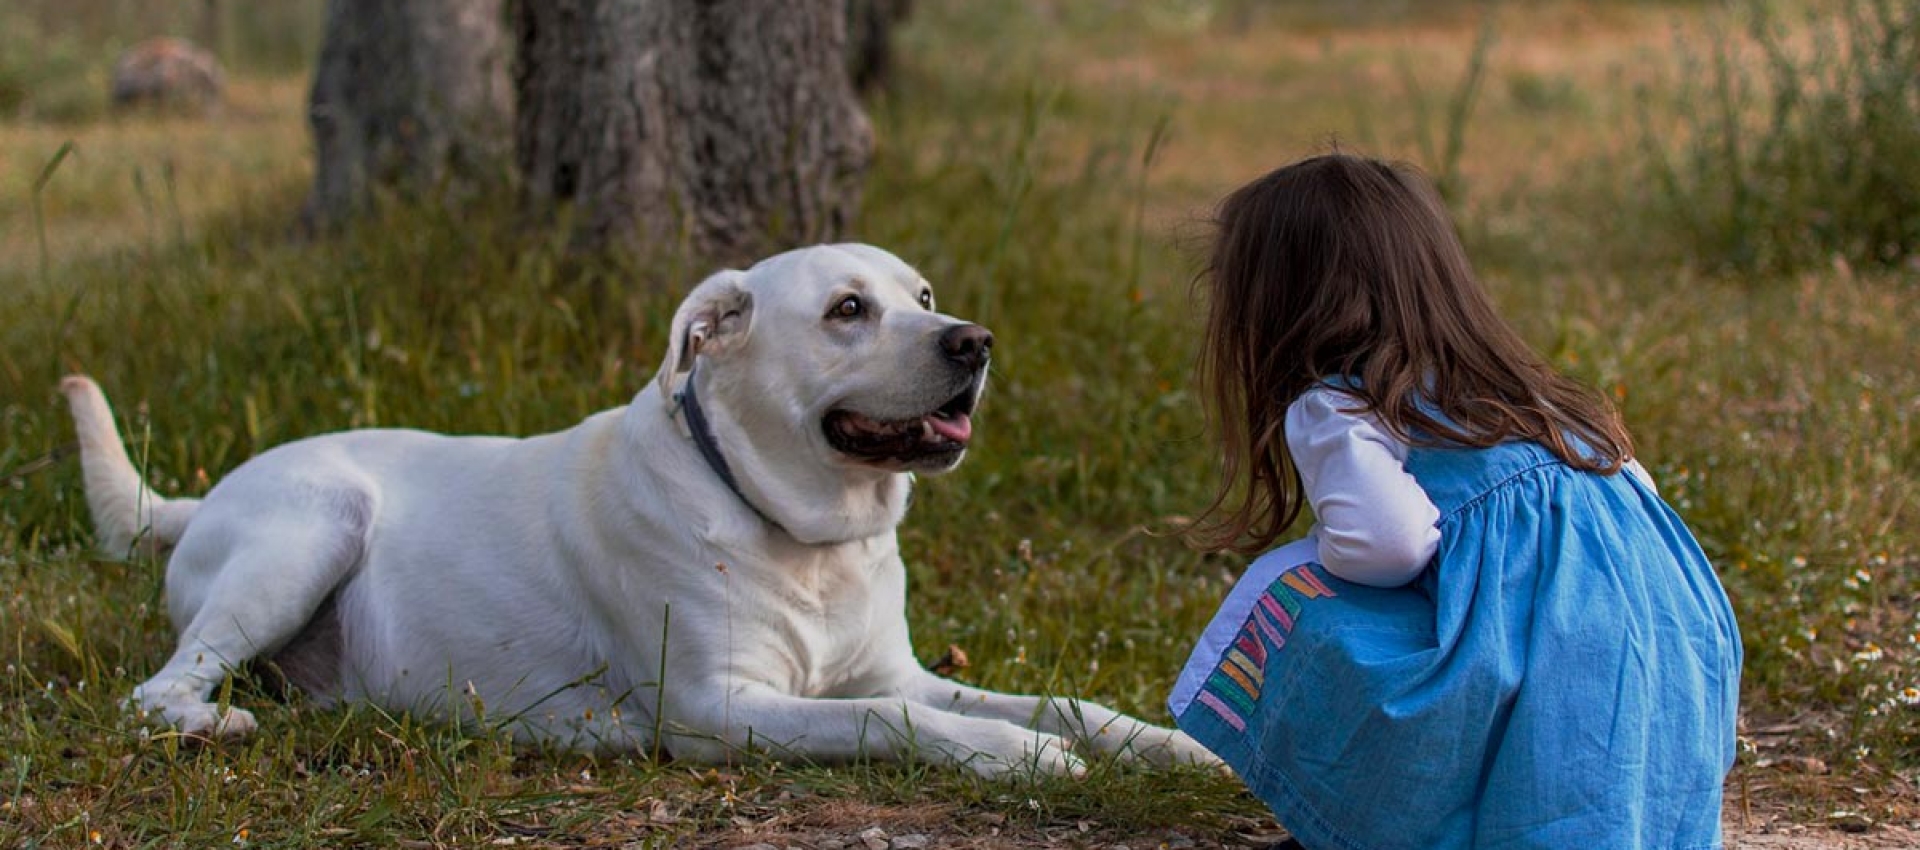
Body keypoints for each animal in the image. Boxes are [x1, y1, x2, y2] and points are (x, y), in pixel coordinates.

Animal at [71, 244, 1213, 779]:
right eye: (848, 310)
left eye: (923, 295)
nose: (973, 341)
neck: (803, 535)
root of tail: (203, 495)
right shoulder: (720, 708)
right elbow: (896, 721)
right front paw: (1019, 758)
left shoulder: (895, 669)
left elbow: (1058, 701)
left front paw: (1169, 746)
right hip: (313, 527)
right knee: (153, 691)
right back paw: (211, 723)